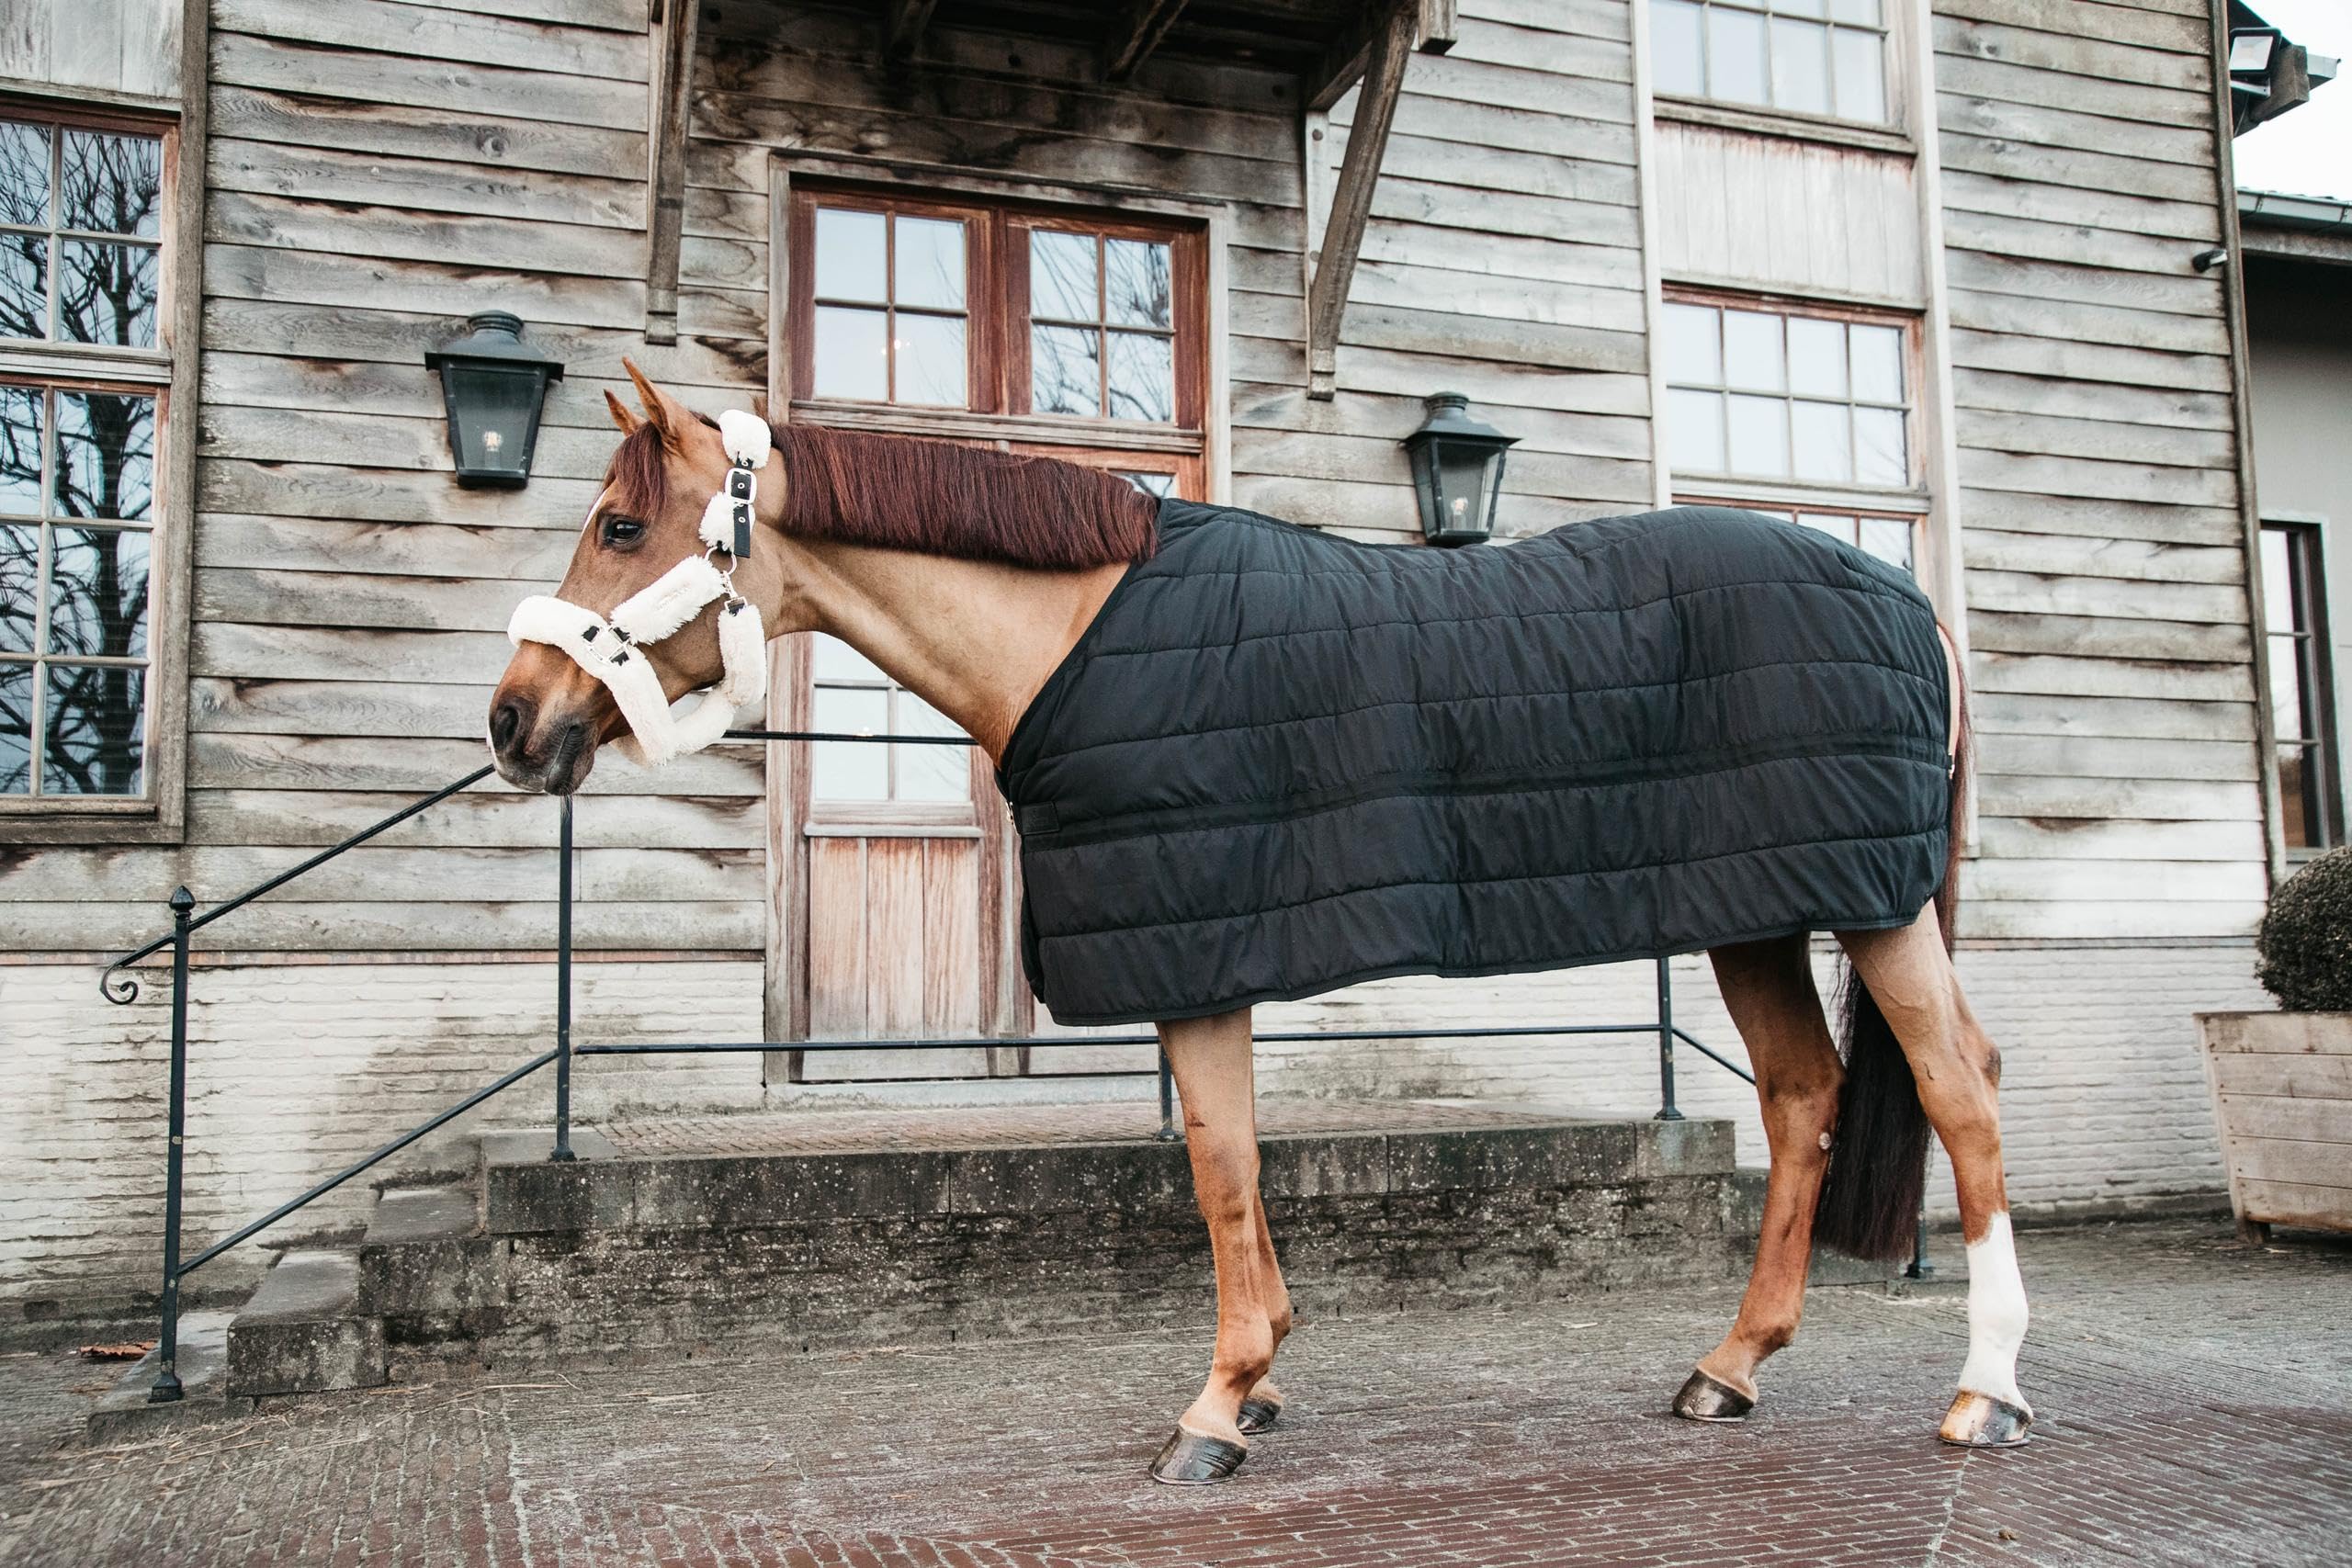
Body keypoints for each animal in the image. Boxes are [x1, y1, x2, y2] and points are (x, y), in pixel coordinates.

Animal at [488, 365, 2031, 1485]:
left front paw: (1219, 1405)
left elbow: (1222, 1162)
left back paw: (1987, 1390)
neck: (1085, 630)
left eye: (620, 526)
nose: (511, 721)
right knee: (1804, 1095)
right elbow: (1230, 1163)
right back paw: (1731, 1365)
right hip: (1761, 911)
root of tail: (1910, 600)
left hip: (1876, 910)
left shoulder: (1200, 957)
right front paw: (1266, 1370)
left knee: (1961, 1087)